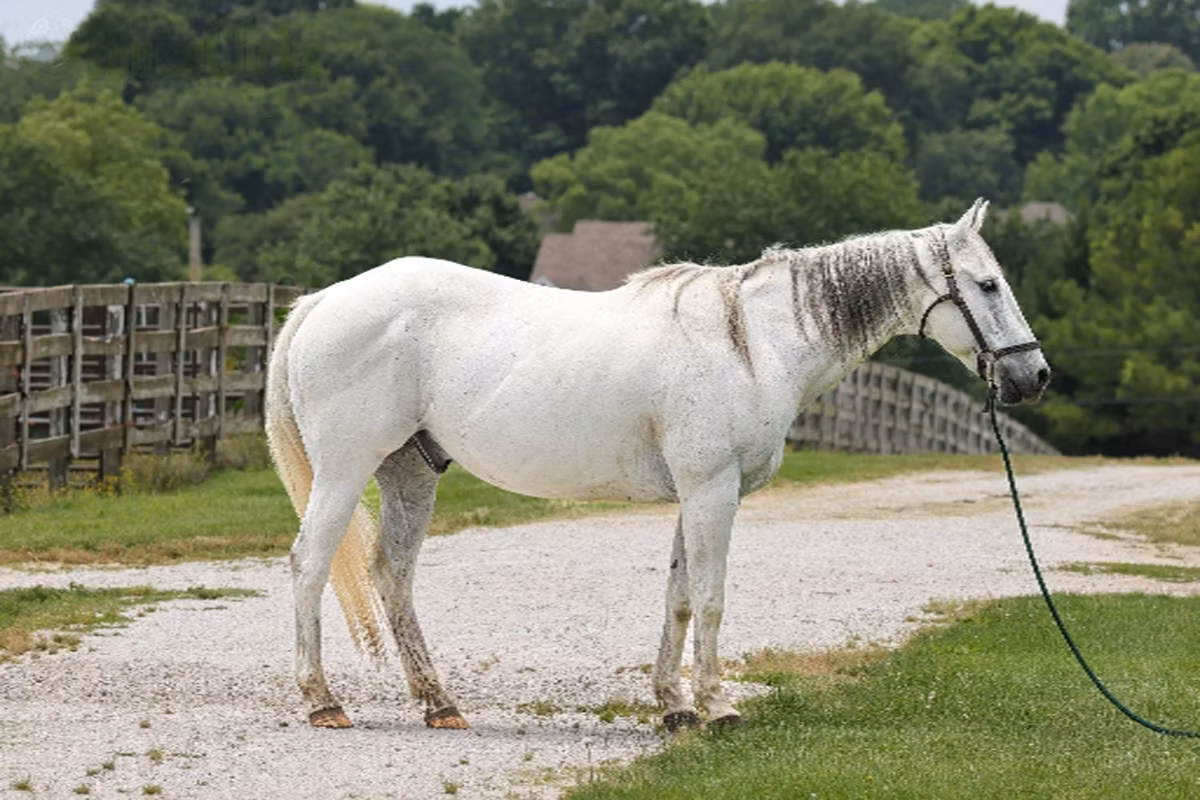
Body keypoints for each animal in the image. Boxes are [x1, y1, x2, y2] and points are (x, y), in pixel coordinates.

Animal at [265, 199, 1050, 731]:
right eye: (987, 285)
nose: (1033, 376)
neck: (753, 343)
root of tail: (324, 300)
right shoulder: (713, 492)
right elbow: (710, 597)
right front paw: (719, 707)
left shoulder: (695, 496)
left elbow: (677, 597)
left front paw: (674, 707)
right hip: (346, 470)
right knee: (310, 563)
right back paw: (323, 701)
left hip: (411, 473)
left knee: (392, 575)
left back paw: (439, 704)